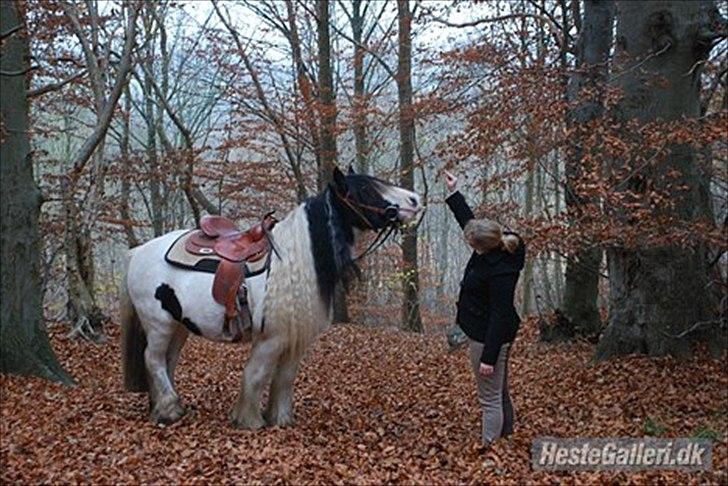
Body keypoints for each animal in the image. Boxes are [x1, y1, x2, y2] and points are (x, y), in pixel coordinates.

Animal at [119, 165, 420, 428]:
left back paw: (162, 407)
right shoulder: (270, 338)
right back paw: (169, 409)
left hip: (178, 325)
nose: (414, 200)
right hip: (159, 324)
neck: (293, 260)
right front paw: (249, 420)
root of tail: (138, 251)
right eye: (366, 189)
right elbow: (256, 375)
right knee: (153, 359)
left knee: (167, 361)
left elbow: (284, 378)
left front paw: (280, 418)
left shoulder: (294, 340)